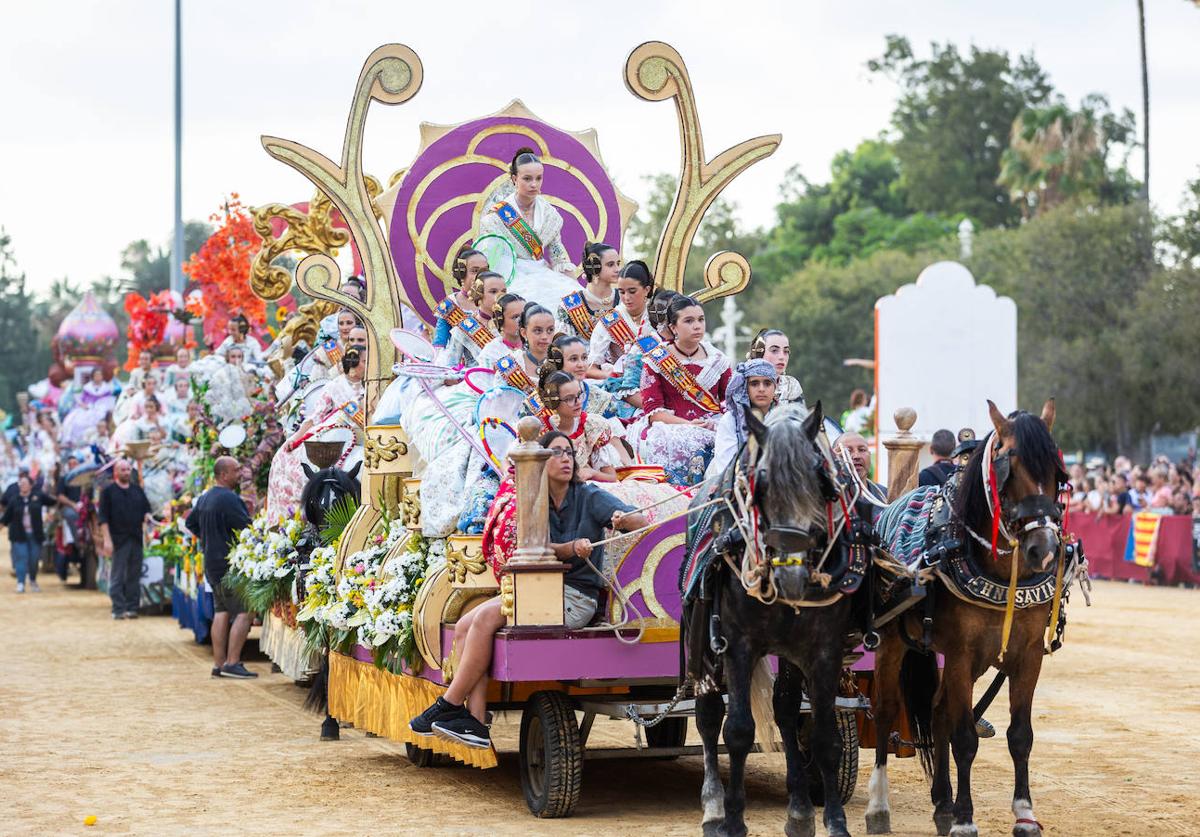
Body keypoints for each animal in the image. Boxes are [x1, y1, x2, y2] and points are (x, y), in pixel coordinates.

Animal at [686, 400, 873, 829]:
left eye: (820, 477)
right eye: (762, 482)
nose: (790, 574)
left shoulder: (824, 650)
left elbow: (824, 736)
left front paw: (833, 821)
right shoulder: (738, 645)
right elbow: (737, 730)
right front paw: (732, 822)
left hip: (791, 654)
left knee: (786, 712)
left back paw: (800, 810)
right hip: (699, 646)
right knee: (707, 714)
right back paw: (713, 804)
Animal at [868, 400, 1075, 834]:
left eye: (1057, 472)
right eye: (1008, 465)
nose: (1044, 549)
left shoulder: (1027, 655)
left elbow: (1020, 735)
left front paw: (1024, 813)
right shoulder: (961, 653)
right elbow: (964, 737)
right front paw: (965, 818)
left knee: (938, 711)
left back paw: (941, 802)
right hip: (893, 641)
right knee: (886, 710)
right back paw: (879, 806)